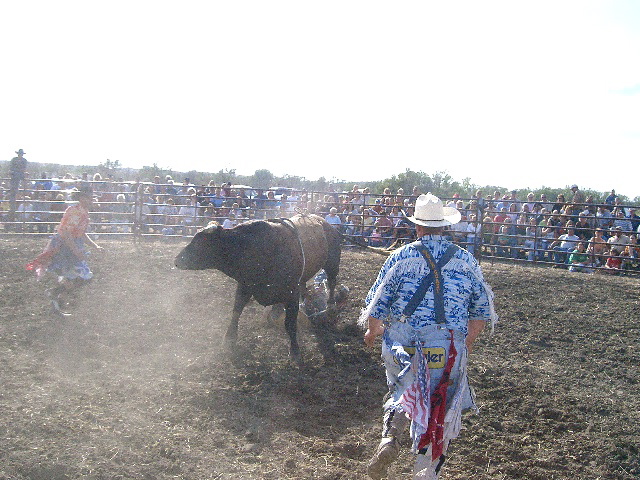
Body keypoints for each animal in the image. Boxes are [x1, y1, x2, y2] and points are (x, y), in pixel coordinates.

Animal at [172, 214, 342, 364]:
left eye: (201, 242)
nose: (177, 260)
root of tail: (326, 224)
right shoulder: (245, 286)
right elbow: (236, 311)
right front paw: (229, 339)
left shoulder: (291, 293)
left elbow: (290, 324)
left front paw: (295, 351)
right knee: (305, 286)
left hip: (332, 263)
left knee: (332, 282)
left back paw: (330, 305)